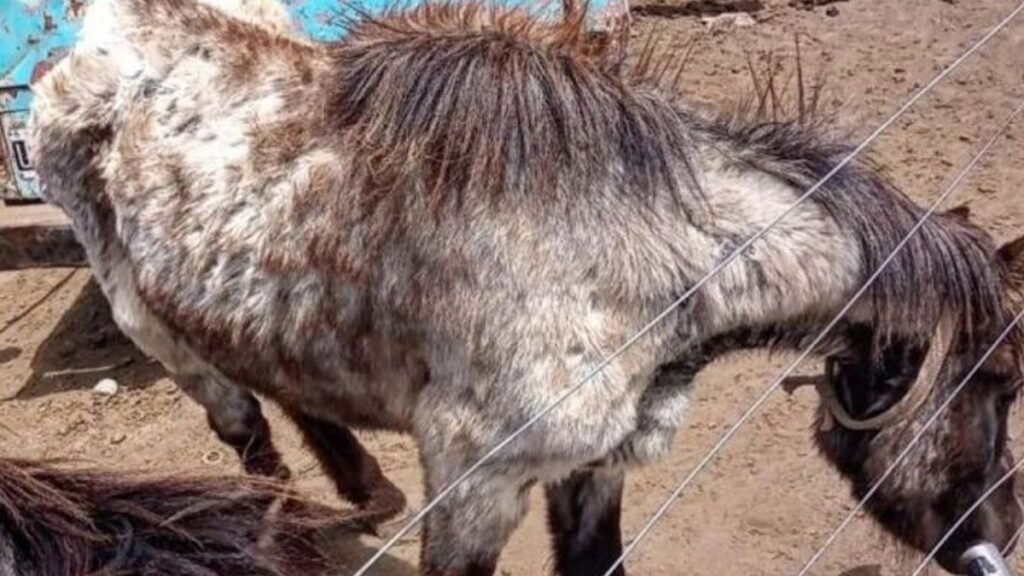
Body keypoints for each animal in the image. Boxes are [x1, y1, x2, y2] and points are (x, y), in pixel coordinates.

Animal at [29, 0, 1024, 573]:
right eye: (1004, 382)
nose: (1003, 533)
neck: (631, 254)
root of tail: (91, 40)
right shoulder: (477, 490)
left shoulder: (592, 474)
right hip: (146, 317)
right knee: (238, 417)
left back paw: (362, 493)